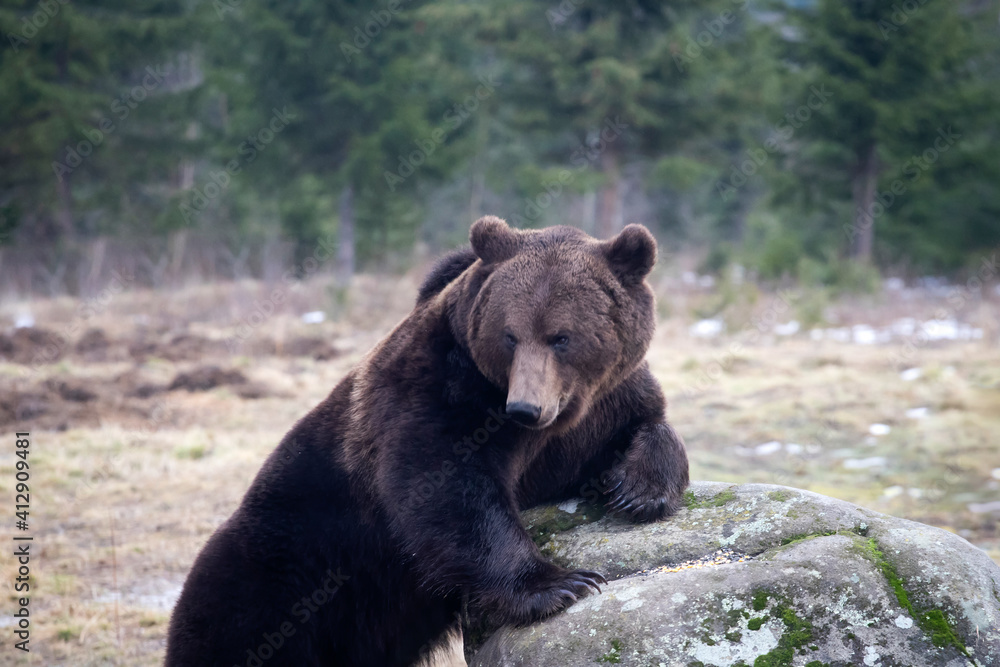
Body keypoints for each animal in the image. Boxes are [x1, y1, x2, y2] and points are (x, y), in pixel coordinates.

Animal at [168, 219, 692, 667]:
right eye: (510, 335)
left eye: (560, 337)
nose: (525, 407)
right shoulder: (436, 394)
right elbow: (447, 490)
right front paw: (563, 584)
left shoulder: (599, 407)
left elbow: (645, 424)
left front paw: (638, 490)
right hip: (284, 567)